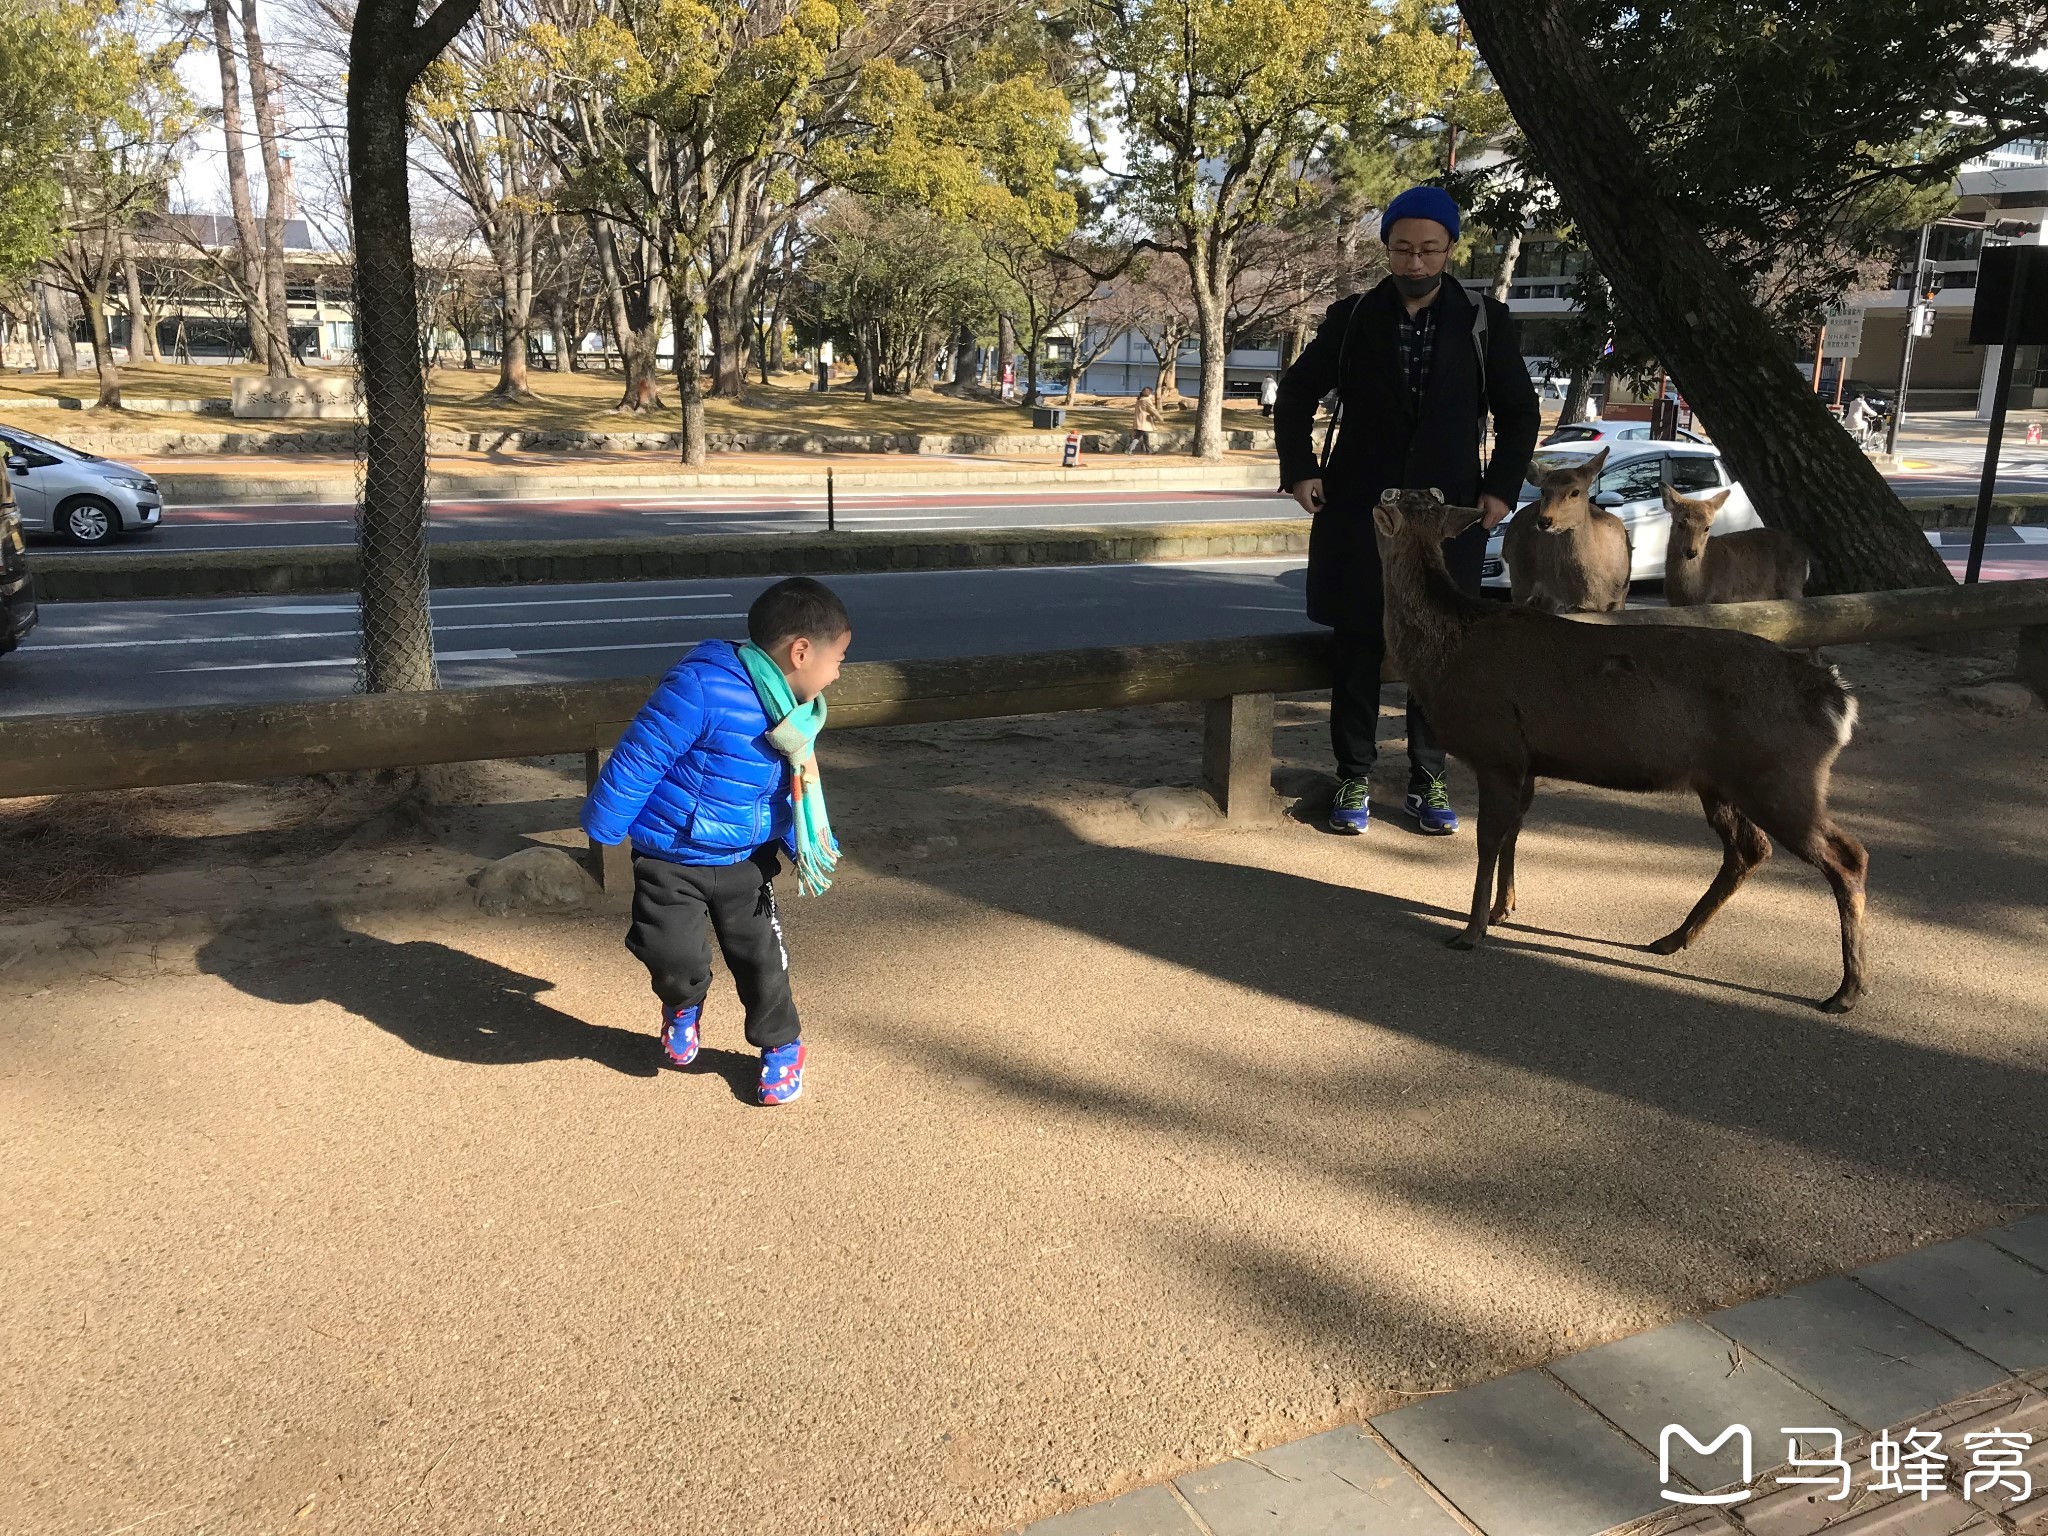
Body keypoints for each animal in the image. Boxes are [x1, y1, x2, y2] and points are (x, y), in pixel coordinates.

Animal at [1499, 444, 1622, 614]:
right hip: (1519, 577)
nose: (1544, 521)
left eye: (1575, 491)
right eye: (1543, 490)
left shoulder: (1620, 597)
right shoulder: (1572, 601)